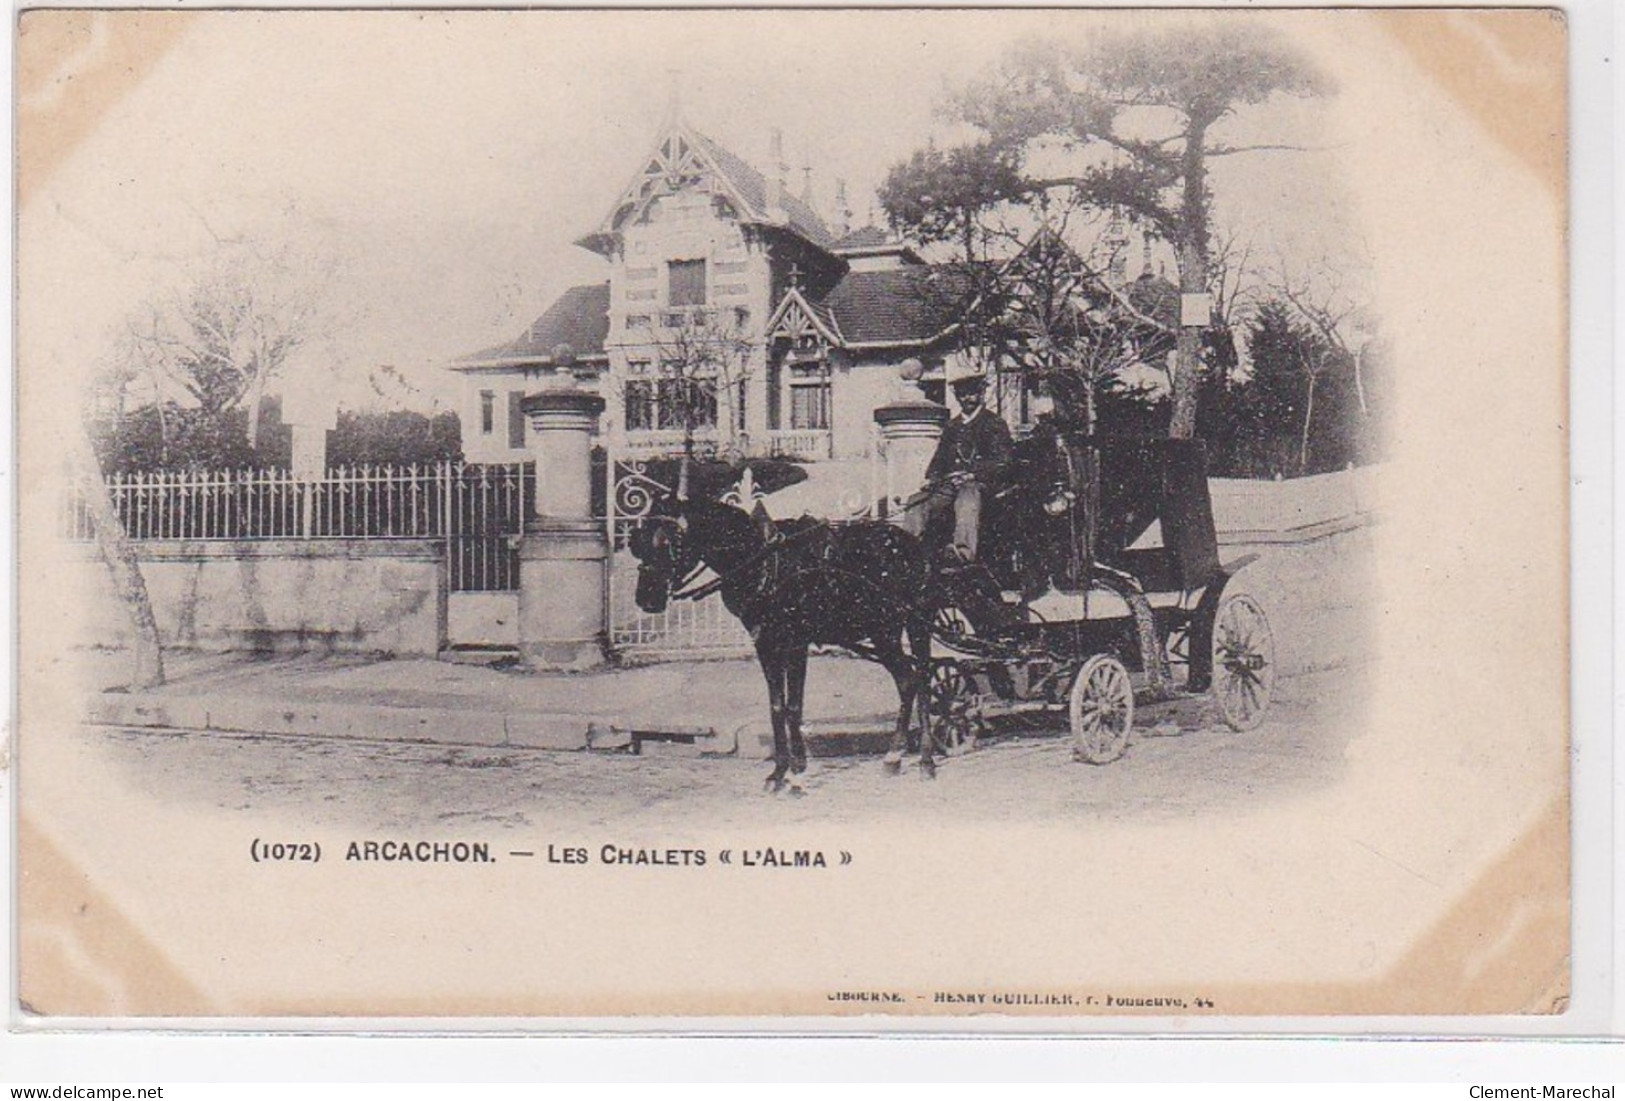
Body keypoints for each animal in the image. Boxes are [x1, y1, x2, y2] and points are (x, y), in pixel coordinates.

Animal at [630, 487, 949, 789]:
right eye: (637, 540)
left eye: (668, 541)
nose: (646, 599)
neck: (764, 561)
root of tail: (913, 543)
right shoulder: (765, 642)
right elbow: (777, 706)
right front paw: (780, 771)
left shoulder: (796, 641)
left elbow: (794, 706)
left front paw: (796, 772)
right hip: (883, 631)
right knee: (906, 680)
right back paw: (893, 757)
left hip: (916, 625)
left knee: (922, 679)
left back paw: (926, 759)